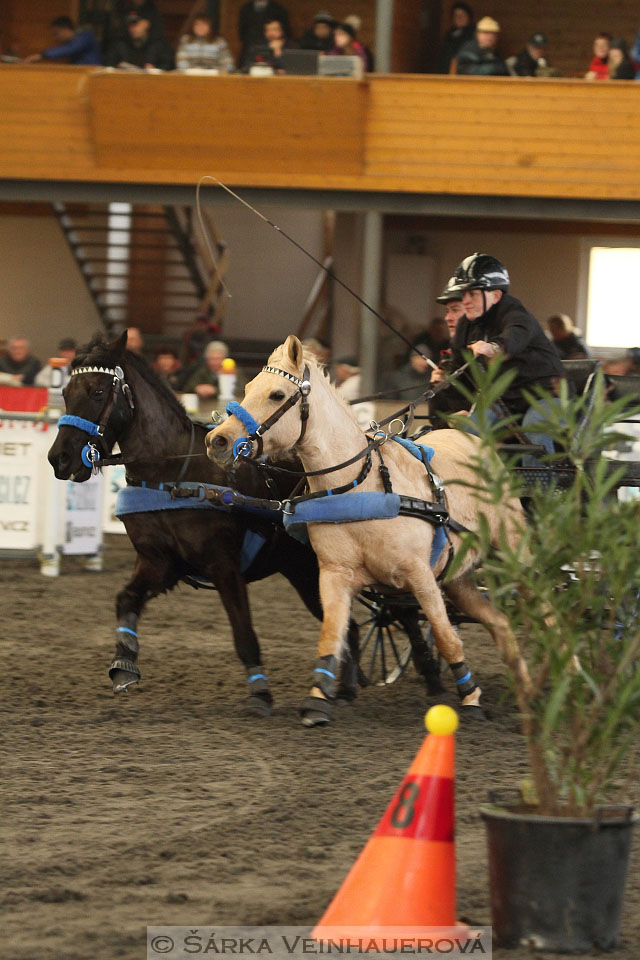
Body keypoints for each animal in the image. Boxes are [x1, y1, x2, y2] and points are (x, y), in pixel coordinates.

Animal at [47, 334, 360, 716]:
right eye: (64, 391)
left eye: (97, 391)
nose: (59, 459)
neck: (173, 476)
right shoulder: (159, 563)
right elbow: (127, 599)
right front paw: (123, 663)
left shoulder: (223, 566)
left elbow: (243, 631)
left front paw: (259, 692)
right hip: (302, 572)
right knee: (350, 625)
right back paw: (344, 688)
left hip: (313, 571)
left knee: (350, 622)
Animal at [208, 334, 528, 724]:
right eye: (248, 387)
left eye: (277, 395)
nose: (217, 440)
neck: (361, 487)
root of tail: (475, 441)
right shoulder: (334, 574)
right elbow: (332, 633)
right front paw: (319, 698)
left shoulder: (420, 574)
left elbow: (444, 635)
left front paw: (470, 699)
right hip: (460, 577)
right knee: (501, 625)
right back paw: (528, 689)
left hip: (515, 554)